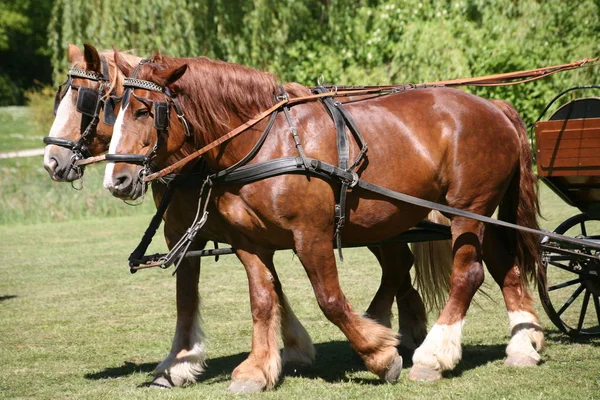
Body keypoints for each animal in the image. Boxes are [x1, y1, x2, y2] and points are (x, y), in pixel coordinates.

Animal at [44, 44, 452, 390]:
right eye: (60, 100)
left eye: (95, 102)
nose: (52, 161)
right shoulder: (211, 234)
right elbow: (251, 292)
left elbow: (222, 295)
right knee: (399, 266)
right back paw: (403, 329)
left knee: (398, 265)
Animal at [105, 54, 548, 390]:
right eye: (113, 110)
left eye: (145, 110)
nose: (117, 180)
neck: (268, 142)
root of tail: (493, 106)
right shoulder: (250, 242)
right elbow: (262, 300)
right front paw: (258, 369)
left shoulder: (311, 236)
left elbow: (329, 299)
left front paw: (379, 354)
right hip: (477, 213)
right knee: (503, 267)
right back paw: (522, 344)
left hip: (466, 210)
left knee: (467, 274)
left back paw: (434, 355)